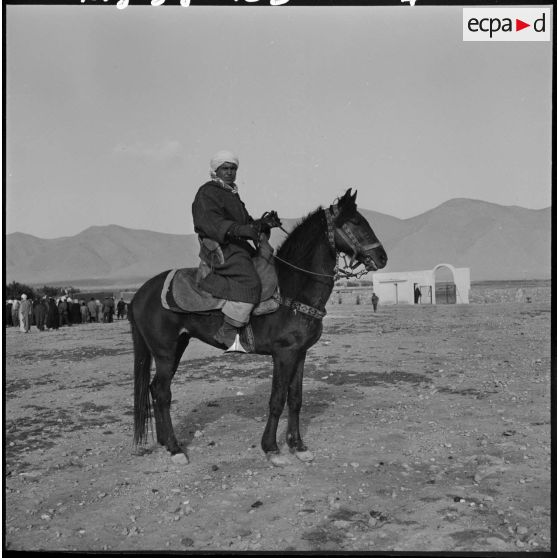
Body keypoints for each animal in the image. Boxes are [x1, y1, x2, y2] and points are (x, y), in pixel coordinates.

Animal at [129, 189, 388, 468]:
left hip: (177, 346)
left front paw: (298, 446)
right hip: (164, 352)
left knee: (155, 389)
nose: (382, 258)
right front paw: (272, 448)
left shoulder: (300, 353)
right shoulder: (283, 354)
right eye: (356, 222)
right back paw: (176, 449)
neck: (293, 288)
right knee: (163, 392)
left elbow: (295, 399)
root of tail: (139, 294)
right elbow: (277, 399)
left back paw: (166, 442)